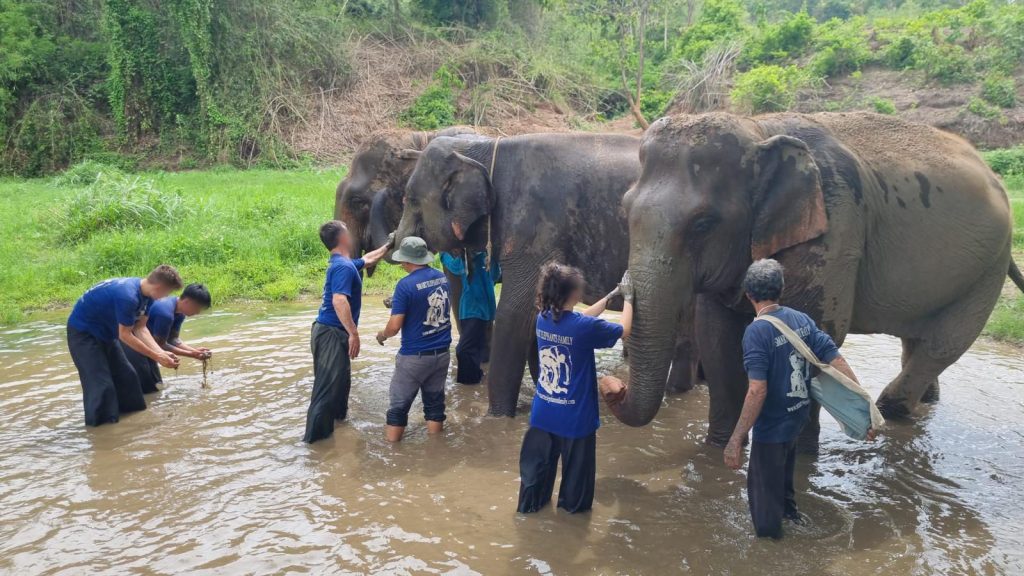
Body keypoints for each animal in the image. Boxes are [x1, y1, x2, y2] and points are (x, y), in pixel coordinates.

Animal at [609, 111, 1024, 450]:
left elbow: (817, 333)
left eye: (702, 224)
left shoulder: (835, 229)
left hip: (989, 264)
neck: (758, 129)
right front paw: (716, 453)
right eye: (624, 210)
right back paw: (925, 403)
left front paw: (798, 460)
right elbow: (717, 338)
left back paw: (892, 408)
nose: (612, 388)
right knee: (918, 341)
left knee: (944, 344)